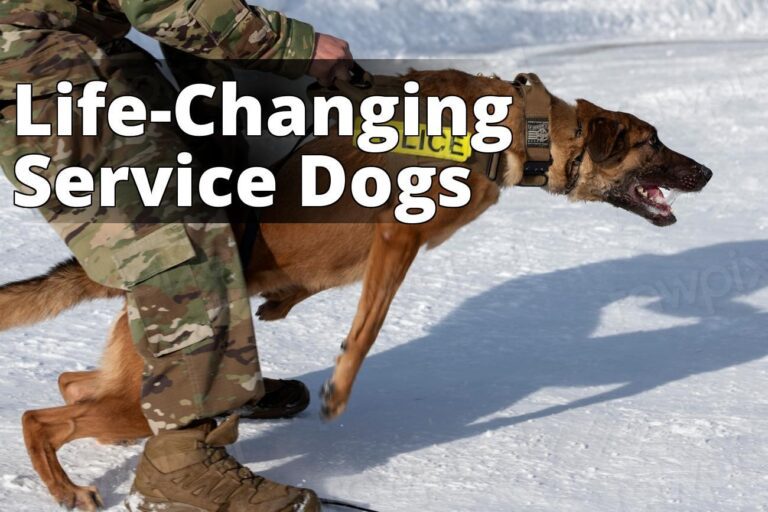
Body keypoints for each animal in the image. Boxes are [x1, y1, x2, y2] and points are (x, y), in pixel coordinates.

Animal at [0, 70, 712, 510]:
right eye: (652, 143)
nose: (706, 172)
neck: (516, 129)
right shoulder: (399, 238)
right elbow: (367, 327)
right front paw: (338, 390)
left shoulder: (373, 250)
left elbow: (316, 289)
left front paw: (279, 304)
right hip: (149, 392)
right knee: (42, 417)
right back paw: (65, 488)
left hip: (139, 379)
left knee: (74, 385)